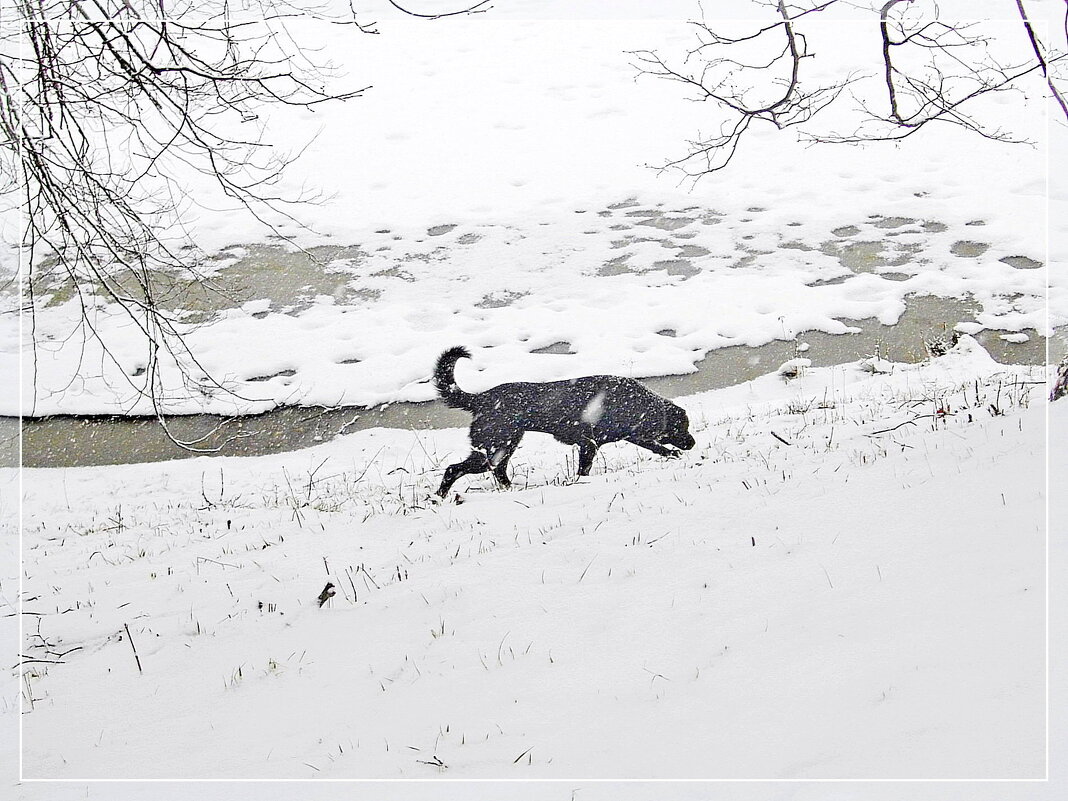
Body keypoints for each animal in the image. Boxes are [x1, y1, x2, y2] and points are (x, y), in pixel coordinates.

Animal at [431, 348, 692, 499]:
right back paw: (441, 496)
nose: (692, 443)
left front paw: (673, 455)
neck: (635, 402)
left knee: (486, 471)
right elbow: (584, 469)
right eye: (682, 428)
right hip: (495, 449)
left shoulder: (629, 436)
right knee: (458, 469)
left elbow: (655, 446)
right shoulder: (588, 444)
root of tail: (482, 398)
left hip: (500, 448)